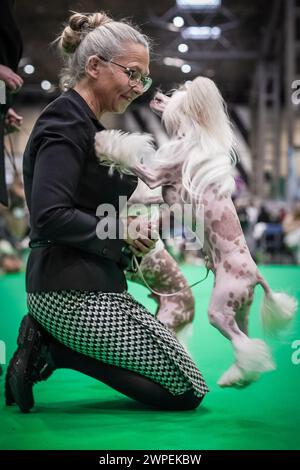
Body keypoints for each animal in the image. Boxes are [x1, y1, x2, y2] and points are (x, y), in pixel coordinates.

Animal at [95, 76, 296, 386]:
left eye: (173, 98)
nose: (154, 94)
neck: (190, 139)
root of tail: (256, 274)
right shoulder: (161, 193)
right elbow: (143, 196)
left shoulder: (157, 177)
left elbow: (132, 162)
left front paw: (104, 143)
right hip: (240, 309)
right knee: (248, 339)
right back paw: (240, 375)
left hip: (219, 309)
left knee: (242, 343)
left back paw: (233, 377)